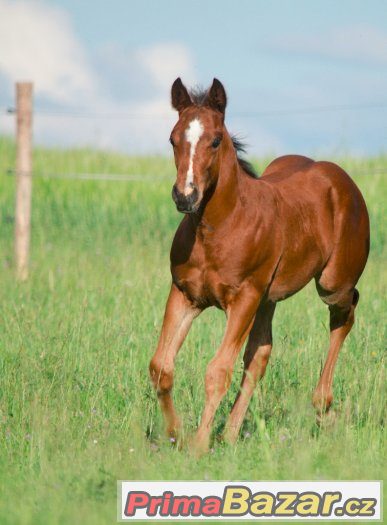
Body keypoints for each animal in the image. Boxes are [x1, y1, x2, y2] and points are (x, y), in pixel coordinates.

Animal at [149, 77, 370, 454]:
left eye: (215, 140)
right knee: (260, 353)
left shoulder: (244, 298)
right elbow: (162, 366)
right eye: (173, 138)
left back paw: (322, 406)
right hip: (269, 297)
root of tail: (340, 178)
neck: (218, 229)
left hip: (332, 283)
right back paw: (231, 433)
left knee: (346, 313)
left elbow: (217, 371)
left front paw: (198, 445)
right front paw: (176, 435)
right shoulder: (185, 294)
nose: (185, 196)